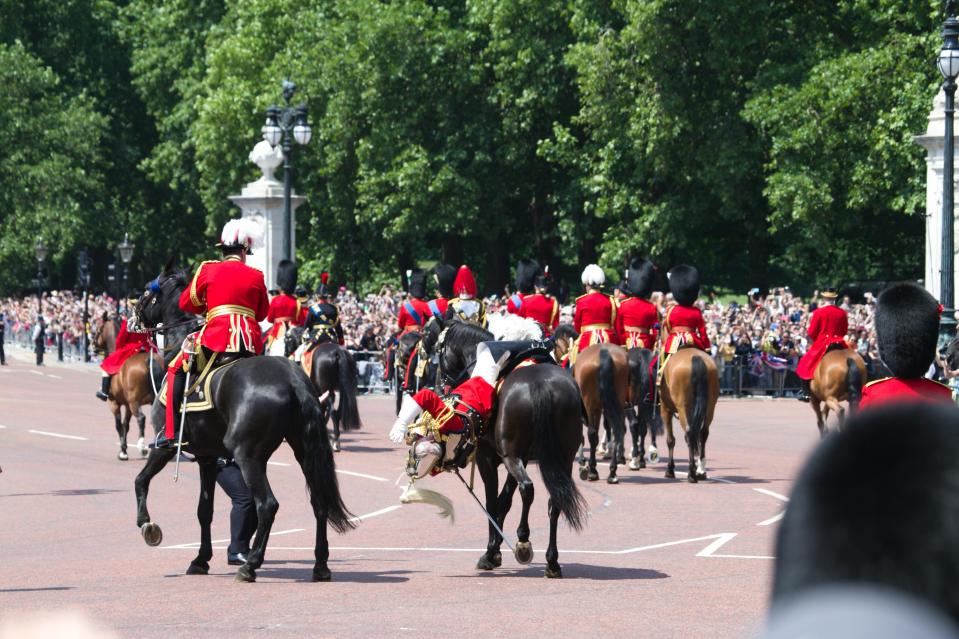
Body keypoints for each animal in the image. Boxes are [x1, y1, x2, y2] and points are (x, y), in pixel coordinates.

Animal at [128, 266, 352, 584]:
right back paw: (320, 565)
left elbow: (141, 481)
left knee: (267, 504)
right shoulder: (207, 457)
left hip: (248, 456)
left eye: (149, 290)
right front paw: (201, 559)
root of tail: (294, 379)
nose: (132, 316)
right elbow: (204, 511)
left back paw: (251, 564)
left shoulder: (166, 446)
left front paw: (147, 525)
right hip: (302, 450)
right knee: (319, 503)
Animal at [432, 318, 588, 576]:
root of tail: (542, 385)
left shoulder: (488, 458)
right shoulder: (521, 457)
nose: (439, 387)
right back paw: (552, 561)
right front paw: (495, 550)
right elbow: (505, 500)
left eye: (438, 350)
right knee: (554, 499)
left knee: (527, 488)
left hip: (512, 456)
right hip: (561, 457)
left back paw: (523, 543)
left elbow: (493, 502)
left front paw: (491, 553)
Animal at [568, 344, 632, 484]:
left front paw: (584, 464)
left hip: (591, 405)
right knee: (617, 430)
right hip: (617, 403)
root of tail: (604, 351)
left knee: (592, 434)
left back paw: (593, 470)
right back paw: (613, 471)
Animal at [660, 348, 720, 482]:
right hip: (710, 406)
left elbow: (670, 440)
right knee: (703, 433)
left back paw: (691, 473)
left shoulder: (665, 409)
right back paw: (701, 471)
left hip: (682, 407)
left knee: (688, 433)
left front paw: (670, 469)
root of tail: (696, 357)